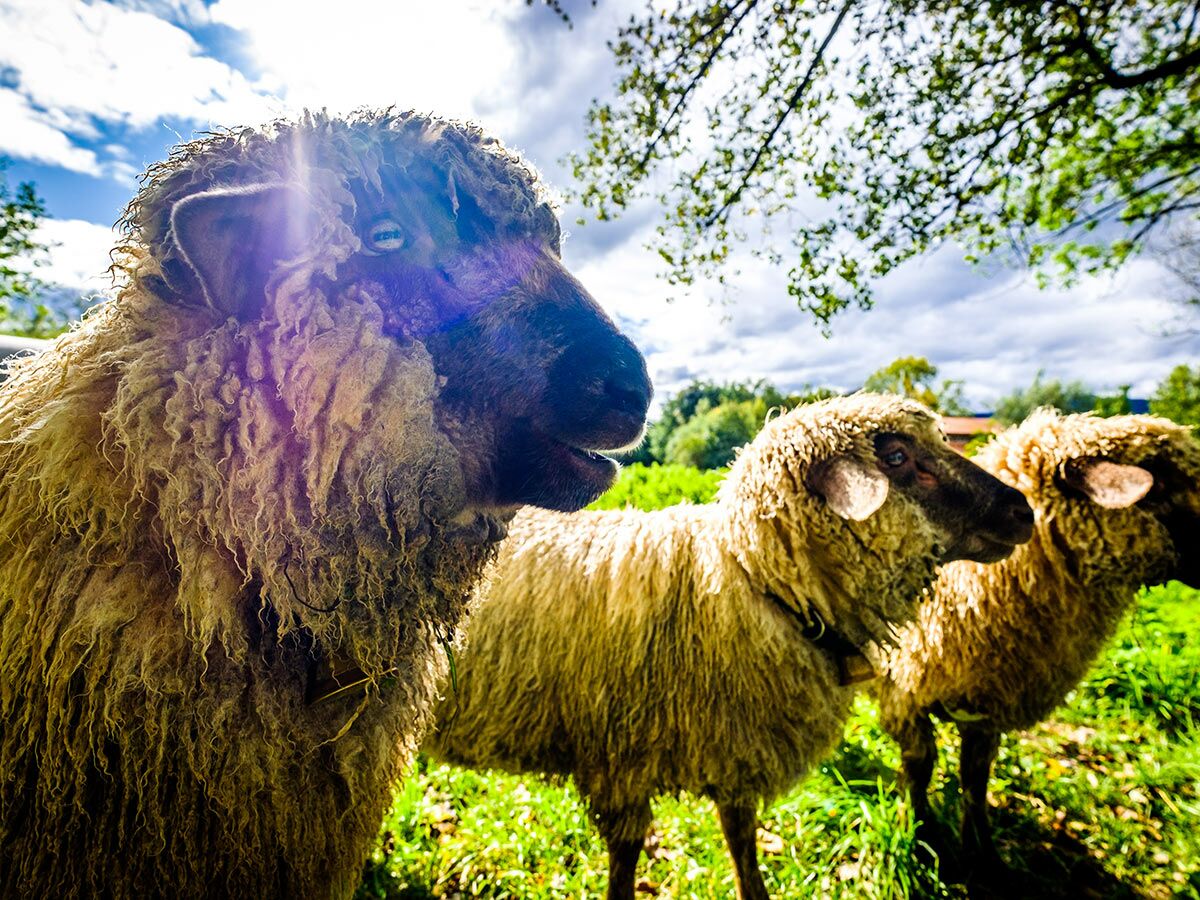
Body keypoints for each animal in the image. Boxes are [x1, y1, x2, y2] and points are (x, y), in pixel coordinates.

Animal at [426, 394, 1034, 900]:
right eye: (899, 456)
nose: (1021, 510)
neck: (746, 578)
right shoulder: (621, 761)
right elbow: (626, 858)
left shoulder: (737, 746)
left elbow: (741, 840)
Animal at [878, 411, 1200, 868]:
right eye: (1163, 487)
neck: (968, 588)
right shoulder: (904, 697)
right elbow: (920, 767)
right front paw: (922, 836)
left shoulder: (988, 707)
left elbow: (975, 778)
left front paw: (982, 851)